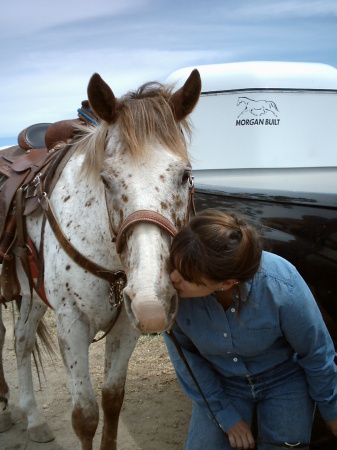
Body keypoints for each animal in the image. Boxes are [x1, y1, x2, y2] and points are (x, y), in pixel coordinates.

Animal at [0, 68, 200, 448]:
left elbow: (112, 401)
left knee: (21, 341)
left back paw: (33, 418)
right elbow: (85, 416)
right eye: (106, 180)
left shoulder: (126, 326)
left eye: (185, 175)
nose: (152, 303)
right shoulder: (72, 323)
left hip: (33, 295)